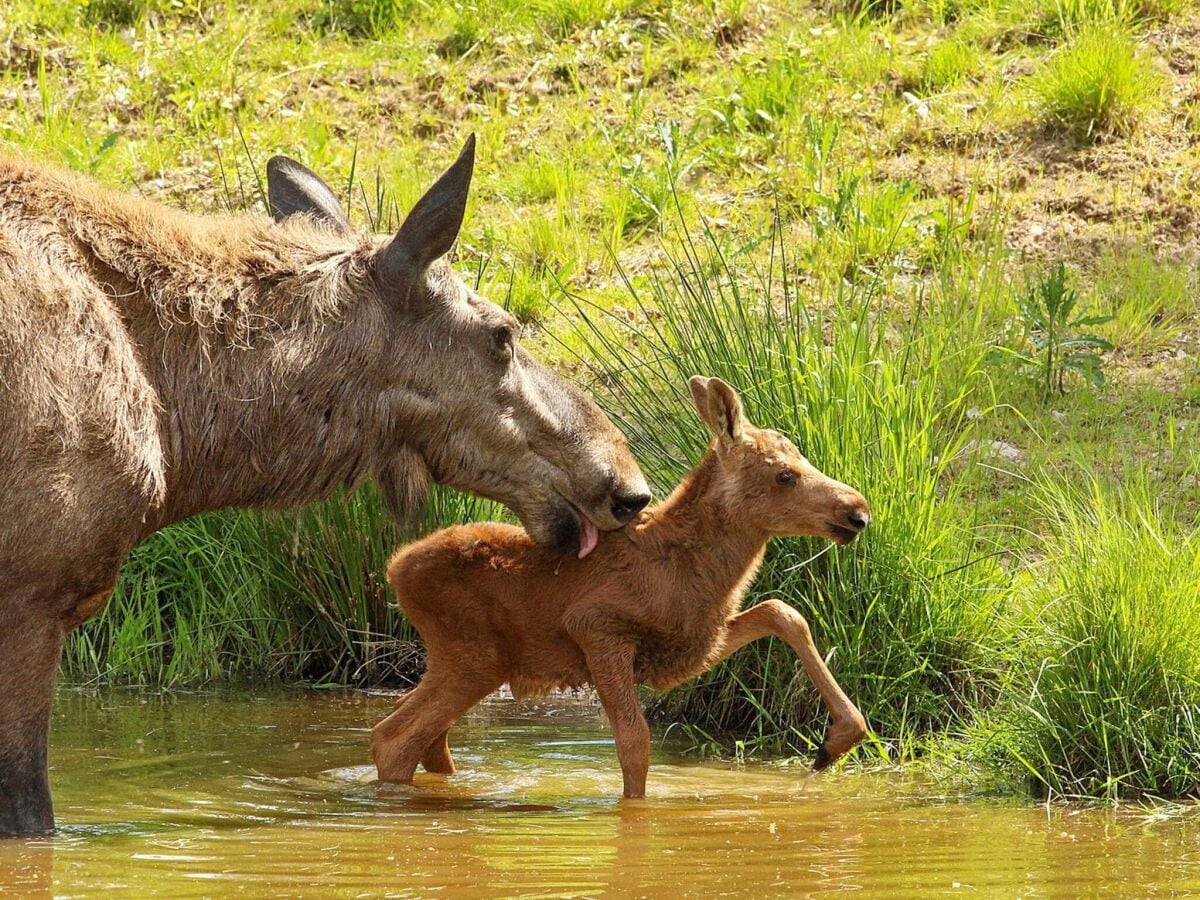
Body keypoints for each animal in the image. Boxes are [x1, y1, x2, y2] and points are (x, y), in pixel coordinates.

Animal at [376, 376, 873, 801]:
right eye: (785, 475)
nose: (858, 511)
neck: (693, 571)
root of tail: (395, 568)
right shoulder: (597, 628)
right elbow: (635, 741)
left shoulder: (692, 644)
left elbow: (782, 611)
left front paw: (836, 741)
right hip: (474, 657)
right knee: (394, 738)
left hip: (467, 661)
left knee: (422, 736)